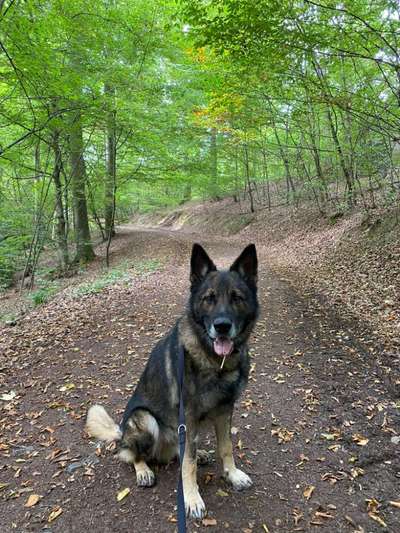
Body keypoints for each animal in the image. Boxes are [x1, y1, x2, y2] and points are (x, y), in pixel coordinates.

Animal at [85, 243, 258, 516]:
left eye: (236, 297)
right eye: (209, 298)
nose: (221, 326)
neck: (214, 362)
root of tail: (121, 432)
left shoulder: (224, 410)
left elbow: (226, 447)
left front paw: (232, 475)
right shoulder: (187, 416)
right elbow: (188, 465)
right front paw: (192, 499)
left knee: (181, 450)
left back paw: (200, 453)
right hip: (145, 420)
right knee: (130, 454)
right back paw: (143, 470)